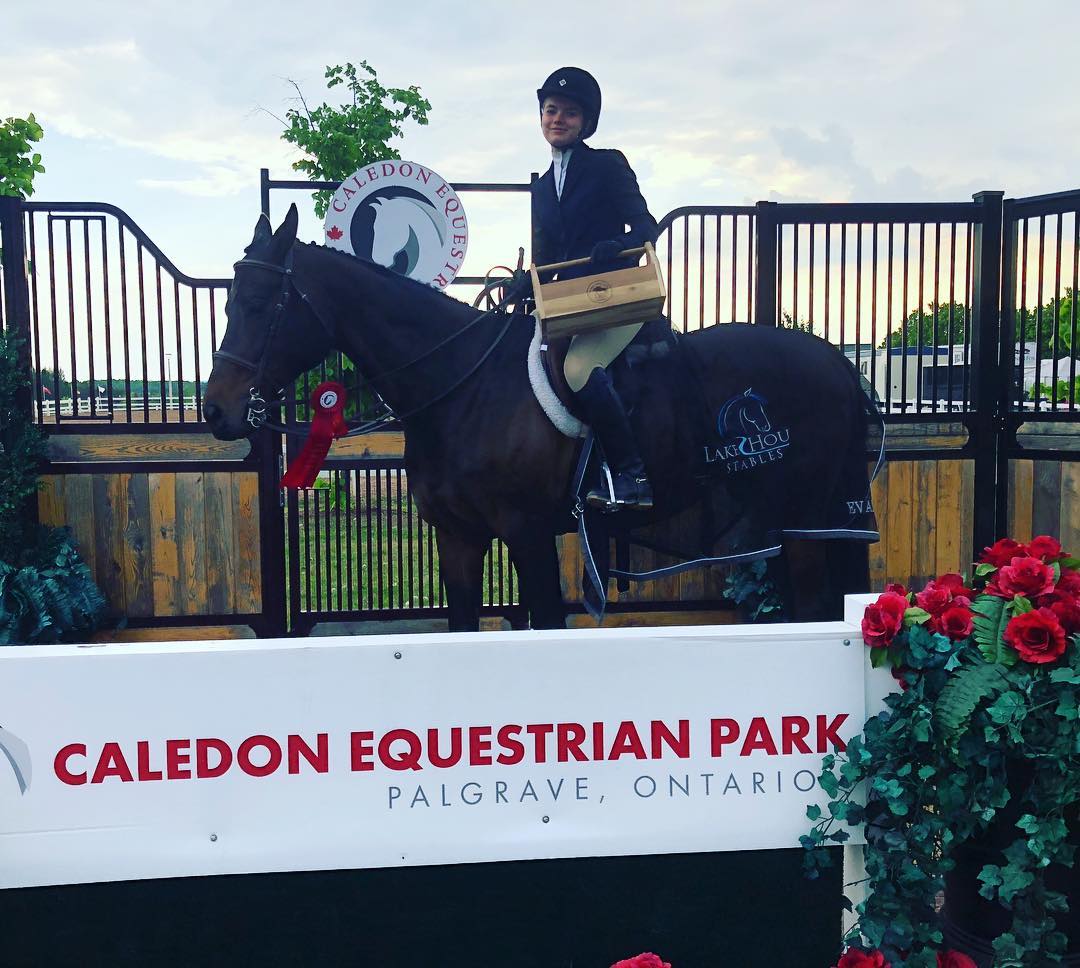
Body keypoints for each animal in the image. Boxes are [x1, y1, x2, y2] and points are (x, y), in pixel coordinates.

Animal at [205, 205, 875, 632]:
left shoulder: (527, 534)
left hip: (803, 518)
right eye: (231, 300)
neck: (463, 387)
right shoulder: (458, 537)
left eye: (259, 303)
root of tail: (834, 359)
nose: (216, 409)